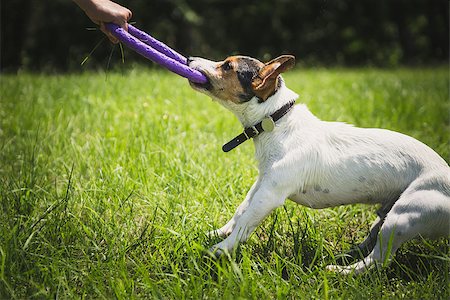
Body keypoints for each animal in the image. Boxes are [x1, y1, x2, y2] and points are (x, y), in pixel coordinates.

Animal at [187, 54, 450, 274]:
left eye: (227, 66)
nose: (189, 58)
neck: (277, 119)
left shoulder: (270, 195)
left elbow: (245, 223)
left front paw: (221, 248)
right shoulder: (262, 182)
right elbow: (241, 209)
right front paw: (219, 232)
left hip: (402, 217)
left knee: (378, 260)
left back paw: (341, 271)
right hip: (387, 213)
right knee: (372, 240)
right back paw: (348, 253)